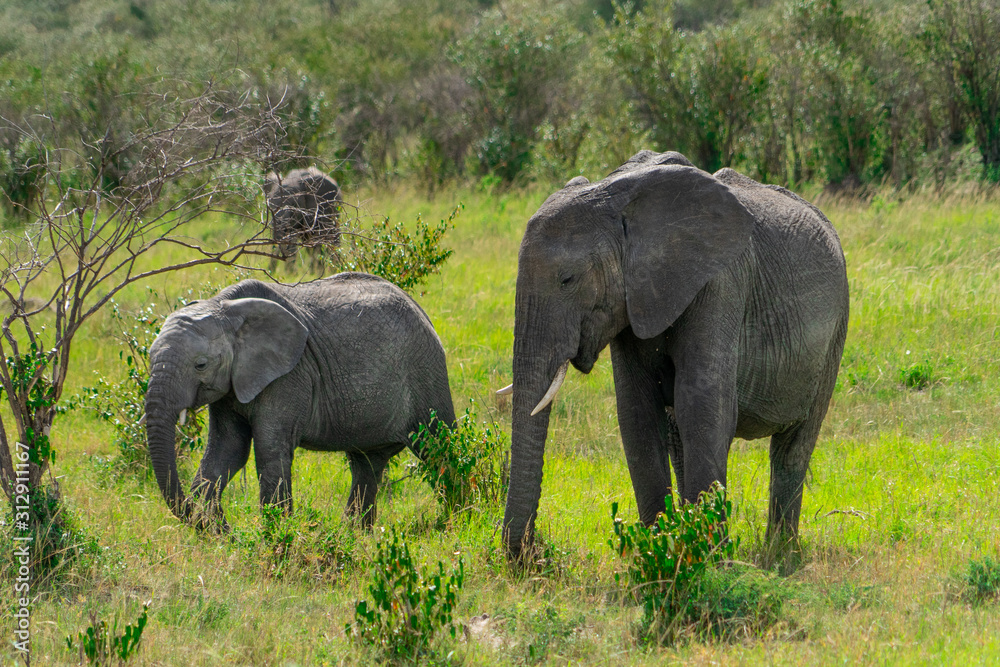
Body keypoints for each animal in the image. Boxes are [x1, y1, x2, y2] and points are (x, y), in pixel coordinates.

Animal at [145, 273, 454, 529]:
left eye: (200, 365)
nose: (223, 528)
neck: (223, 306)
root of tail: (420, 309)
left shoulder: (290, 375)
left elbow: (269, 450)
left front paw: (276, 536)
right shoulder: (231, 386)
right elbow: (227, 450)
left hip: (426, 372)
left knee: (440, 449)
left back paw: (453, 522)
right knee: (366, 463)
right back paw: (355, 534)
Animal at [498, 150, 849, 559]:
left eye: (567, 280)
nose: (530, 554)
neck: (618, 198)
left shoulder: (721, 282)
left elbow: (704, 407)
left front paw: (711, 560)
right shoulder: (632, 299)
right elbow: (637, 413)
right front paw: (659, 551)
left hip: (835, 332)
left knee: (793, 447)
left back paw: (781, 555)